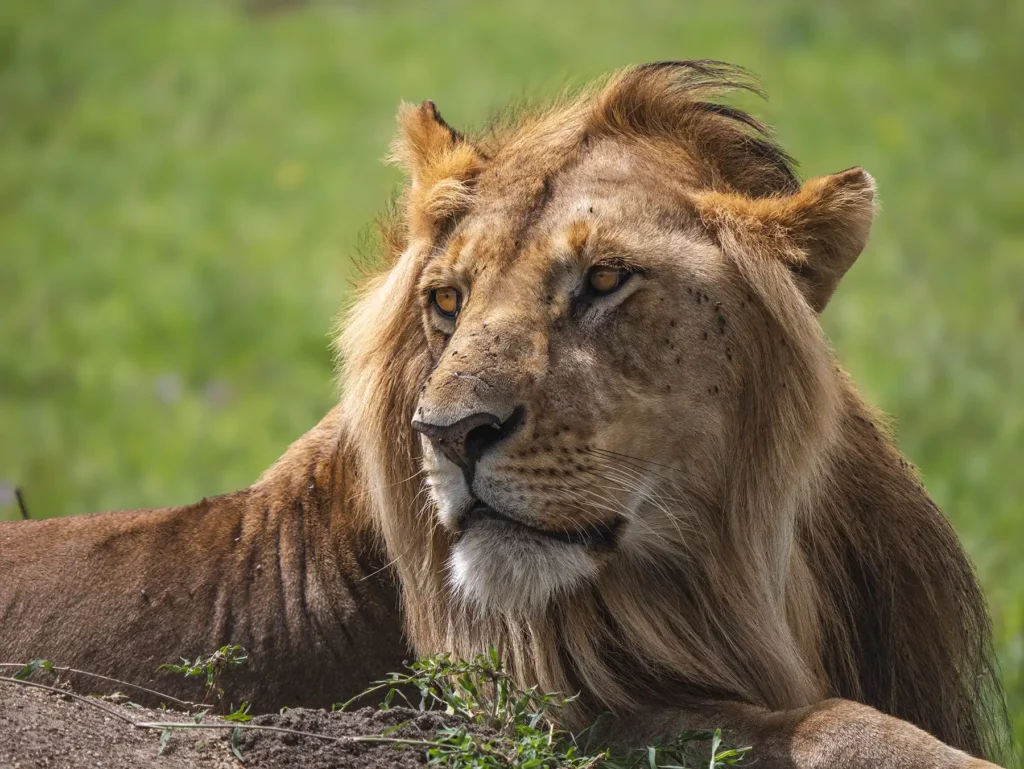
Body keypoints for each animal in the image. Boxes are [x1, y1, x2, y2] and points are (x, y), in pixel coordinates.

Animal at [0, 61, 1007, 768]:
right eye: (447, 300)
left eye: (604, 279)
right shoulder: (548, 715)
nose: (449, 434)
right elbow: (825, 723)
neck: (739, 581)